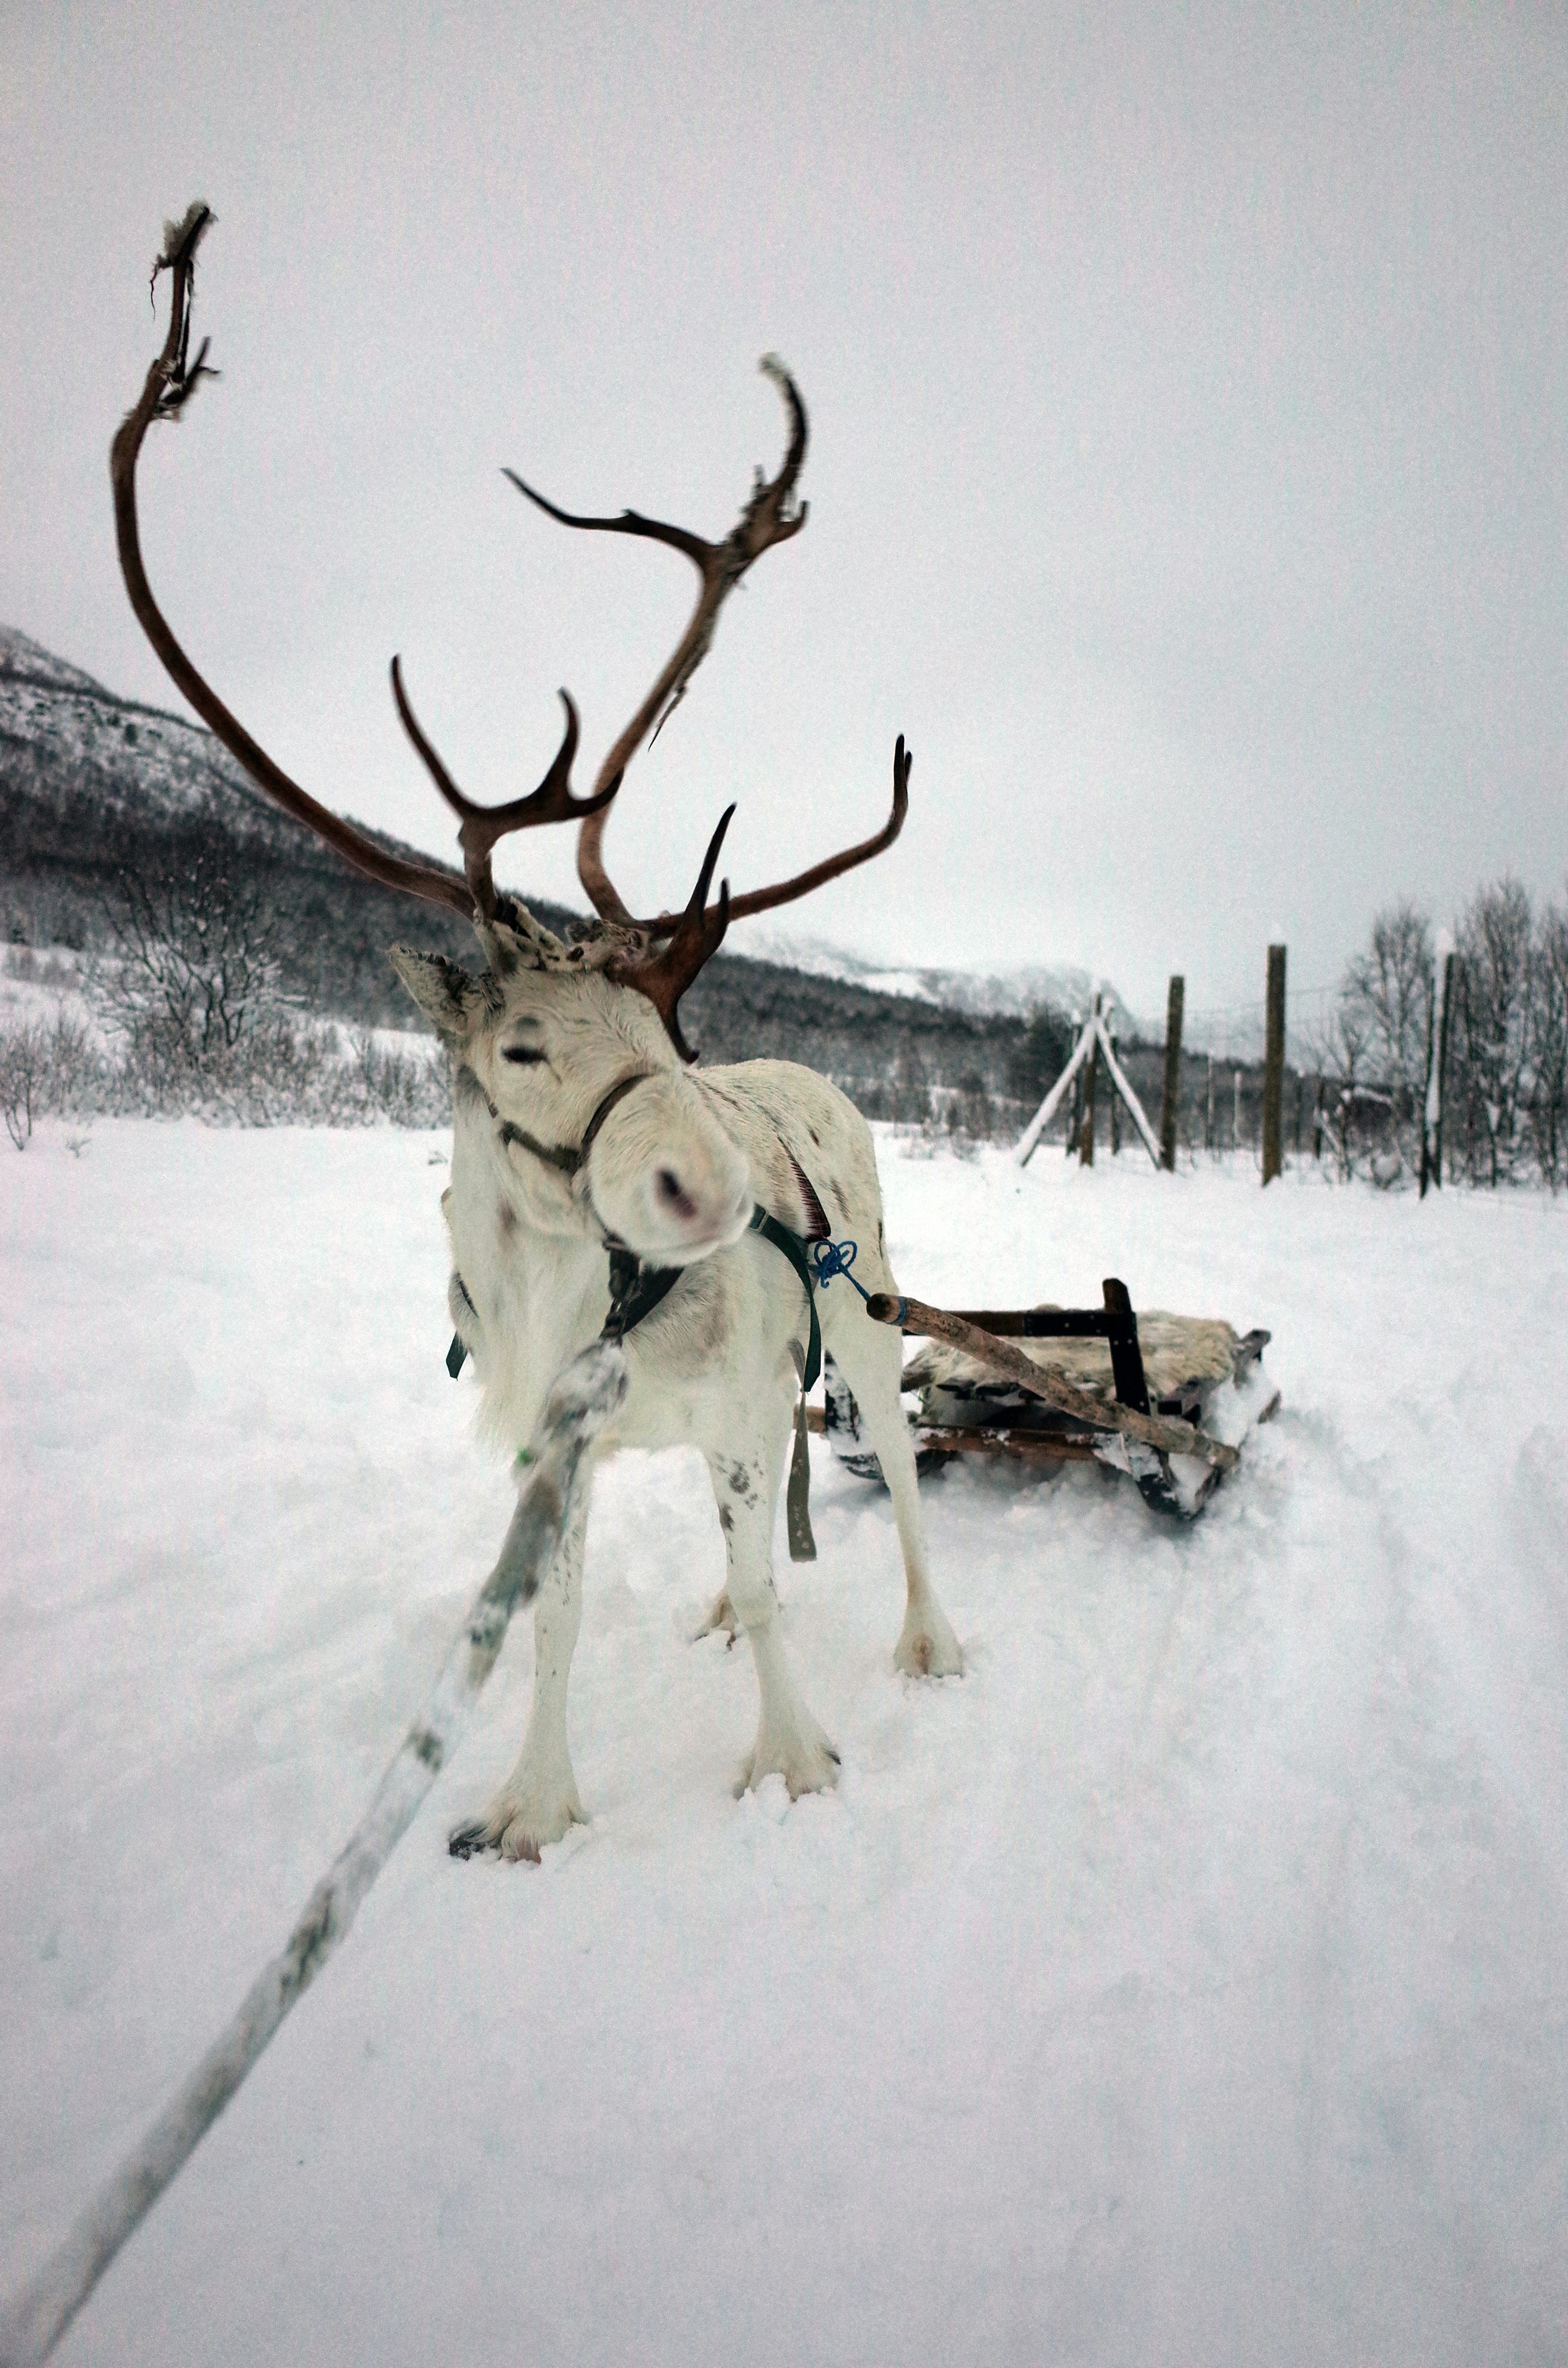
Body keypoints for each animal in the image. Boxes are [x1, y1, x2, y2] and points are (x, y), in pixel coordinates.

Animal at [112, 205, 962, 1863]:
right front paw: (530, 1807)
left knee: (890, 1476)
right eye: (519, 1048)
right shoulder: (551, 1452)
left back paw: (927, 1641)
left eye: (660, 1028)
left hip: (872, 1311)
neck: (569, 1310)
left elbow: (782, 1586)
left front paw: (795, 1762)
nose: (718, 1185)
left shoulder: (743, 1398)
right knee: (751, 1527)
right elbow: (550, 1626)